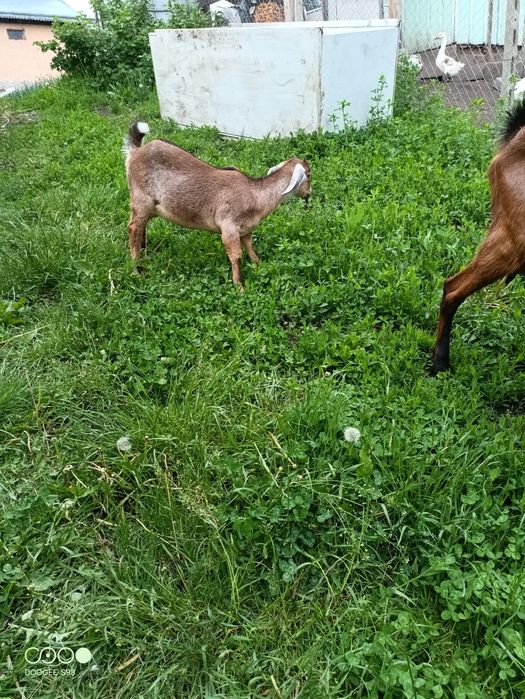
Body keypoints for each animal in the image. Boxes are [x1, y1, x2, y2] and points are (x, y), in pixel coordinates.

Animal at [123, 122, 311, 287]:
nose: (309, 194)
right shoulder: (228, 227)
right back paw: (137, 269)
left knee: (141, 226)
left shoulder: (245, 229)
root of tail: (135, 151)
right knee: (133, 227)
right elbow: (236, 256)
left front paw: (259, 264)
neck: (254, 194)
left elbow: (250, 246)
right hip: (141, 198)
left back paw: (144, 253)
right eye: (309, 174)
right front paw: (240, 287)